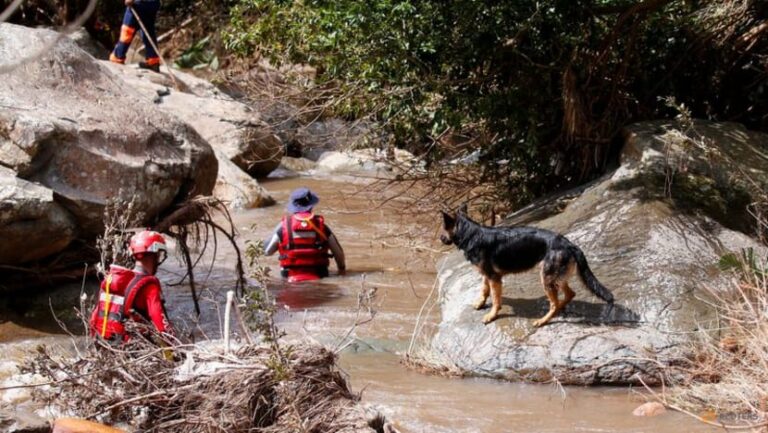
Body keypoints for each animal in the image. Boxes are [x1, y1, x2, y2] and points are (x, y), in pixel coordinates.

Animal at [440, 205, 616, 324]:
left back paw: (543, 320)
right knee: (569, 295)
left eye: (443, 229)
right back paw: (560, 308)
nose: (440, 239)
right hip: (555, 277)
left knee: (554, 303)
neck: (470, 234)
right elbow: (484, 290)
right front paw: (480, 303)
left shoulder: (494, 278)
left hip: (546, 279)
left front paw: (492, 315)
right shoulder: (487, 275)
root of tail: (569, 244)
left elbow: (496, 299)